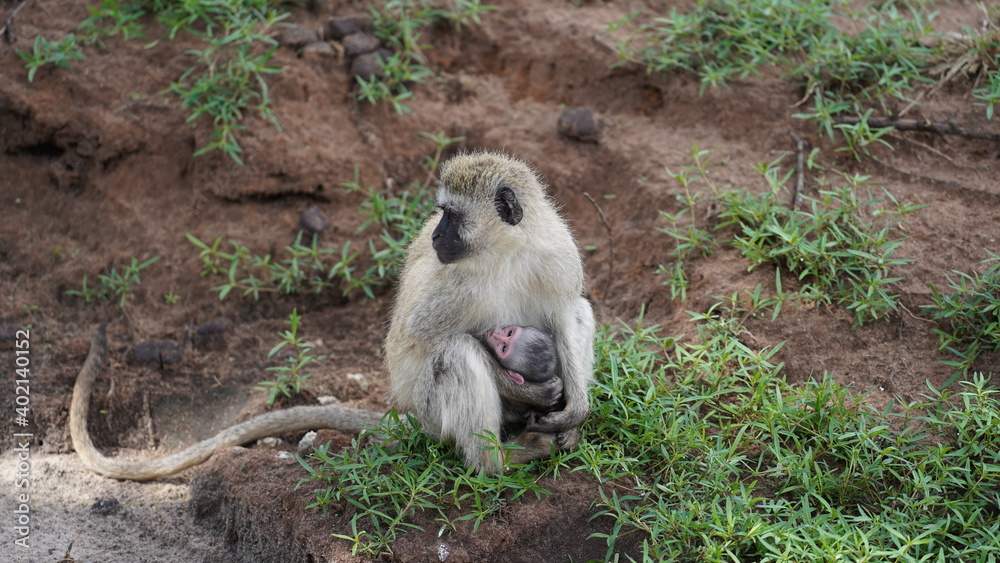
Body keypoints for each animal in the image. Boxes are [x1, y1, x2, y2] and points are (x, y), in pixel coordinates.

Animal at [69, 150, 594, 480]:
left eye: (453, 217)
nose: (435, 237)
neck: (504, 252)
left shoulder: (555, 253)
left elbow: (566, 310)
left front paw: (575, 411)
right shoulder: (453, 286)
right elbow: (419, 343)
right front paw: (534, 391)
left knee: (580, 312)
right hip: (431, 414)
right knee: (459, 353)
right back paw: (499, 462)